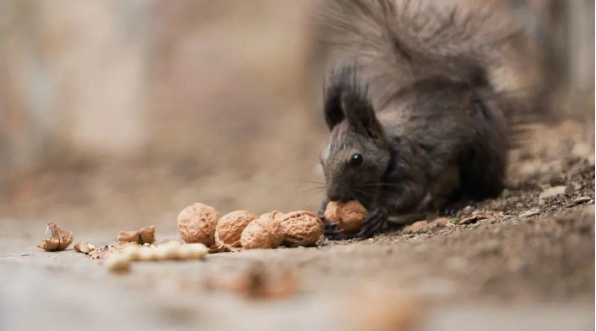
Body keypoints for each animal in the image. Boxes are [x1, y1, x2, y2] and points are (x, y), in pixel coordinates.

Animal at [314, 0, 536, 240]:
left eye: (357, 159)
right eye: (321, 159)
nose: (334, 195)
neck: (389, 146)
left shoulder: (410, 163)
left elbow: (410, 192)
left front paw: (379, 213)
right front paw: (325, 217)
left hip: (481, 154)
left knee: (482, 188)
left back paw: (458, 202)